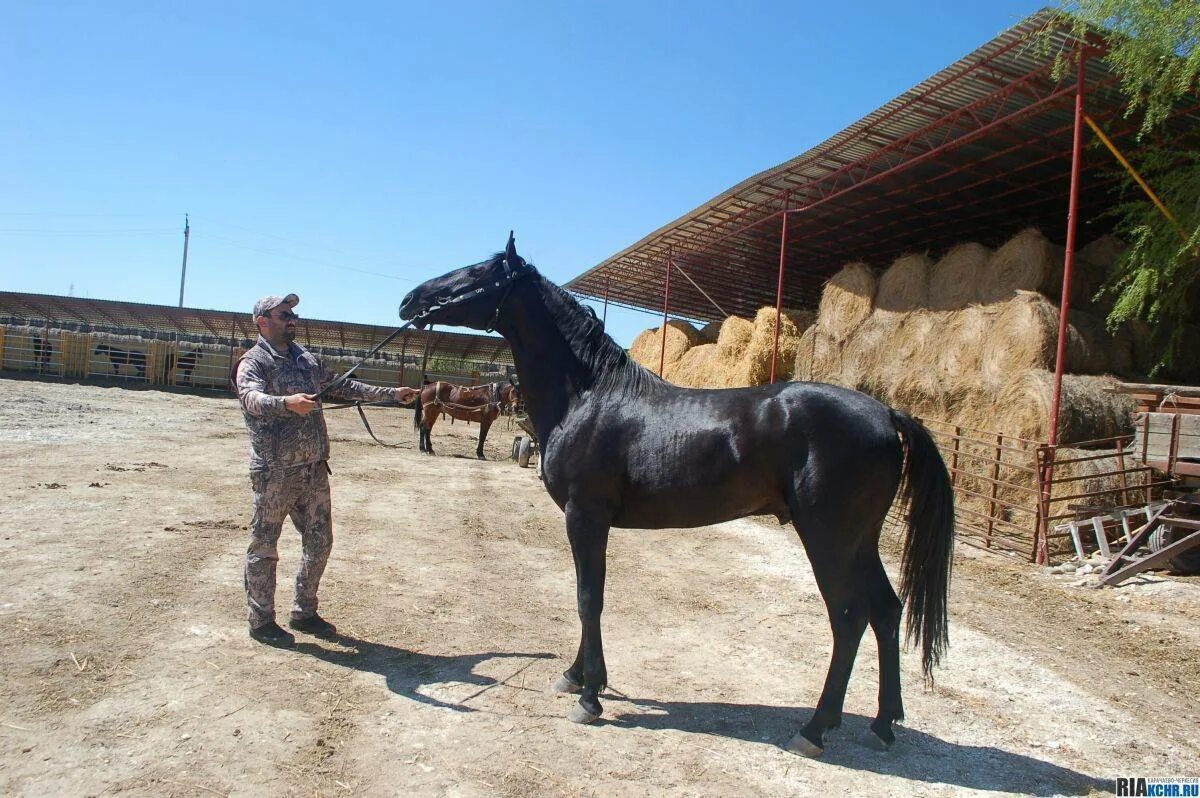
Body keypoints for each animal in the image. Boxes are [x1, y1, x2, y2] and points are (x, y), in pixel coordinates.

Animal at [398, 231, 950, 753]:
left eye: (478, 272)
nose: (409, 301)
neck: (588, 395)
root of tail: (886, 413)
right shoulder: (588, 522)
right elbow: (586, 593)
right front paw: (576, 676)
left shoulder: (585, 516)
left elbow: (588, 598)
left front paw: (590, 696)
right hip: (861, 543)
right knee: (886, 611)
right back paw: (882, 725)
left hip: (829, 540)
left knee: (849, 618)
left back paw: (815, 729)